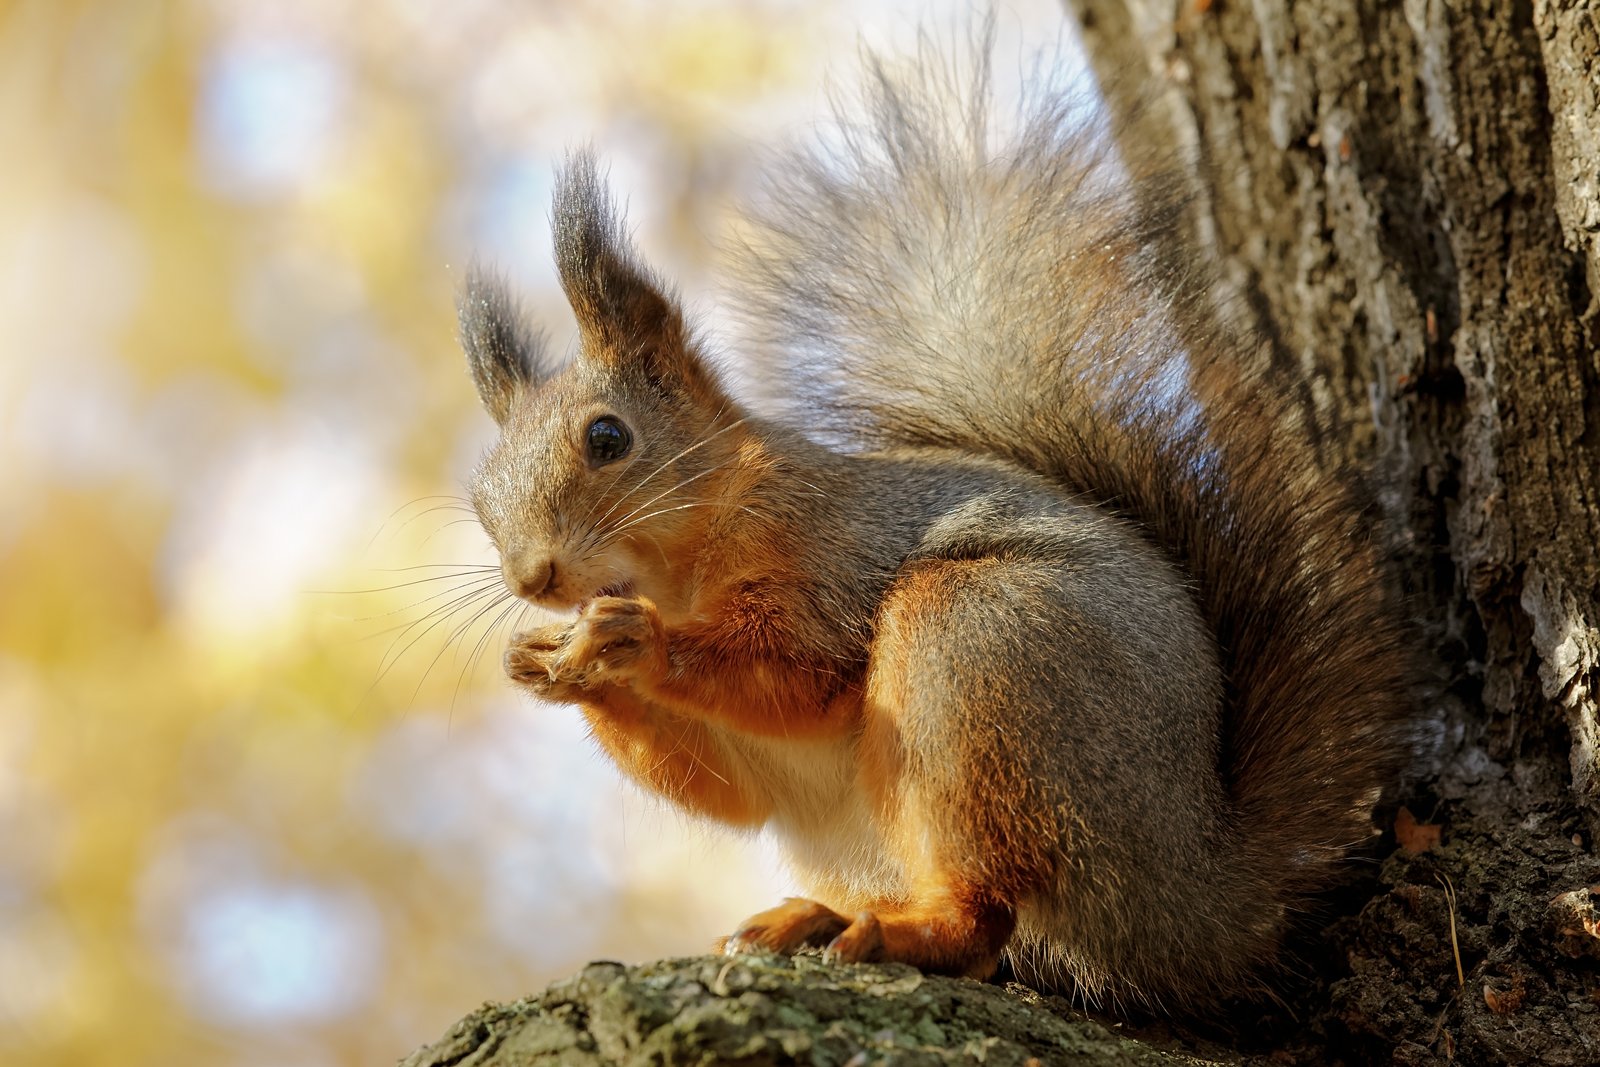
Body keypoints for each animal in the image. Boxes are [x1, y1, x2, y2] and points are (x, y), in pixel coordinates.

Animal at [451, 35, 1414, 1017]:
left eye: (608, 437)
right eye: (480, 499)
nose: (533, 579)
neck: (680, 564)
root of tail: (1196, 894)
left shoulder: (831, 547)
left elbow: (793, 669)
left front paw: (633, 641)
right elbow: (724, 787)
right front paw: (542, 662)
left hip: (984, 653)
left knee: (987, 921)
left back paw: (899, 932)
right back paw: (813, 917)